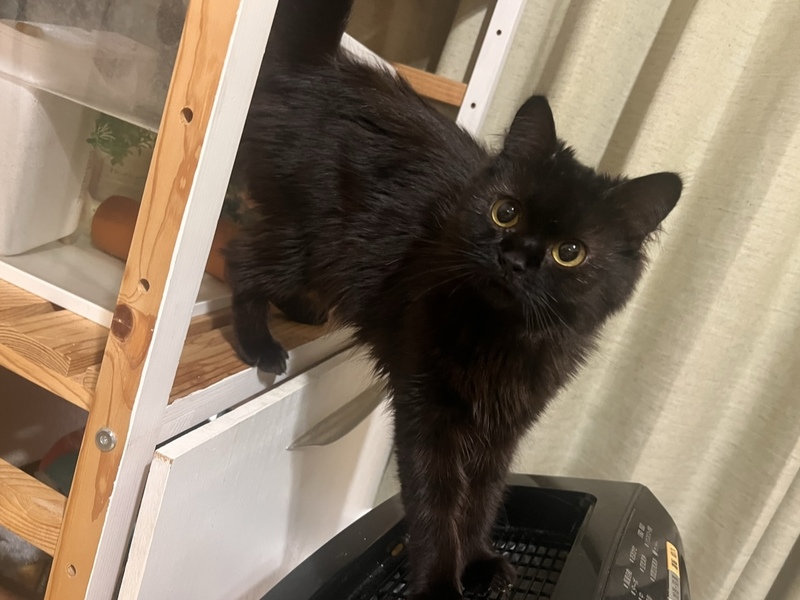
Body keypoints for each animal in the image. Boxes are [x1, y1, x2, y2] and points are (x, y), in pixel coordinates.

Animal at [226, 1, 682, 598]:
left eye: (570, 253)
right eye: (505, 212)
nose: (516, 259)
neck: (501, 336)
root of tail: (321, 63)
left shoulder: (504, 430)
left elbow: (481, 500)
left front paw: (481, 560)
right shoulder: (428, 413)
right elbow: (436, 506)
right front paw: (444, 583)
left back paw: (302, 312)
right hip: (307, 237)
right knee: (241, 258)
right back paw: (260, 345)